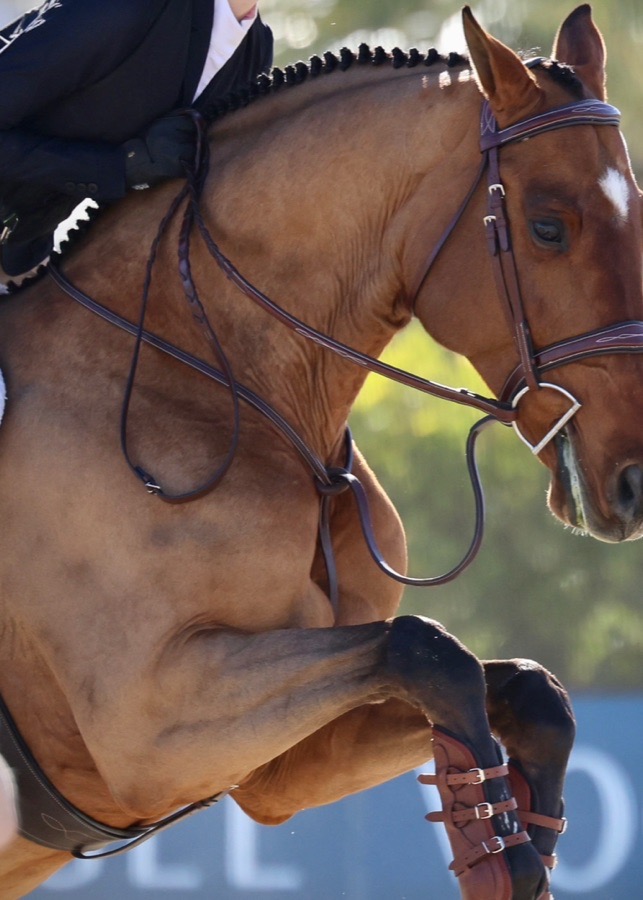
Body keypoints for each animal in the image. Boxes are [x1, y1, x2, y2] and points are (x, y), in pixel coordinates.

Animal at [0, 4, 641, 898]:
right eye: (548, 227)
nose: (636, 478)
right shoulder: (147, 724)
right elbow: (426, 648)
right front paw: (500, 845)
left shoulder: (277, 767)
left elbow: (521, 686)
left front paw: (523, 837)